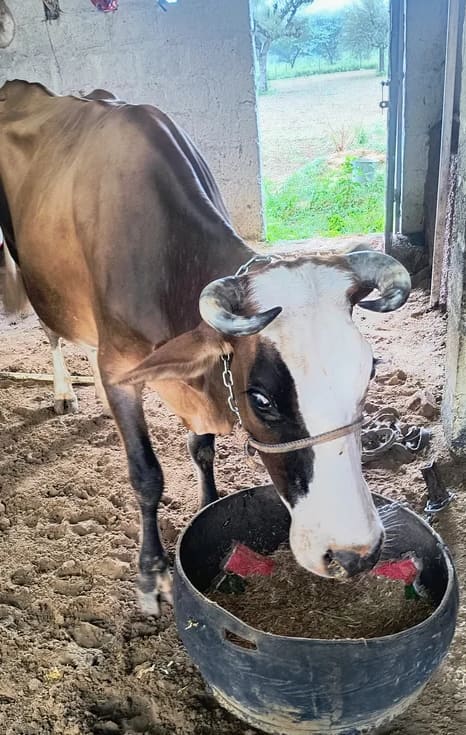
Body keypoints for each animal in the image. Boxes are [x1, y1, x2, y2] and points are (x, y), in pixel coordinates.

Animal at [0, 80, 411, 615]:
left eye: (369, 375)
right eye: (261, 399)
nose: (355, 553)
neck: (166, 258)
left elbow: (201, 449)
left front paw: (209, 504)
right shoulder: (120, 367)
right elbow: (146, 474)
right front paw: (151, 575)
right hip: (31, 272)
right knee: (51, 332)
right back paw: (64, 391)